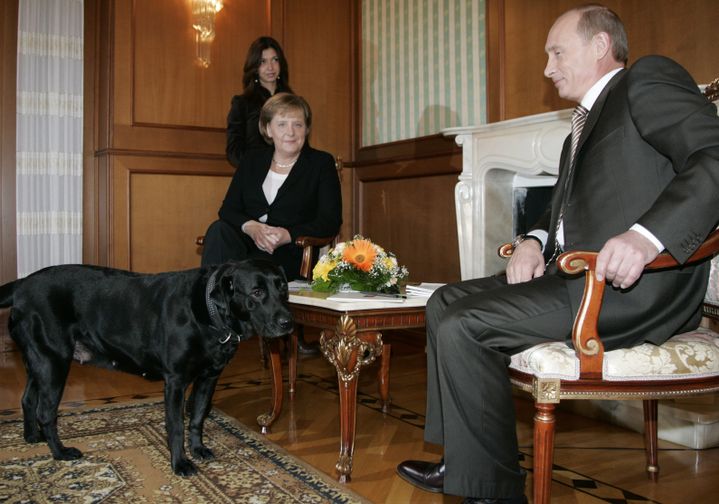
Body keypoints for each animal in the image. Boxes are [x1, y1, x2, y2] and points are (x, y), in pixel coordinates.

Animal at [0, 260, 292, 476]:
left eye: (283, 289)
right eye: (257, 292)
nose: (288, 322)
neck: (207, 312)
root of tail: (22, 284)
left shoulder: (209, 378)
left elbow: (198, 416)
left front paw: (198, 449)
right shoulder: (175, 381)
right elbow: (176, 425)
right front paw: (180, 463)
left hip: (39, 362)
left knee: (28, 400)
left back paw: (31, 437)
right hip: (53, 362)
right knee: (46, 412)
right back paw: (60, 453)